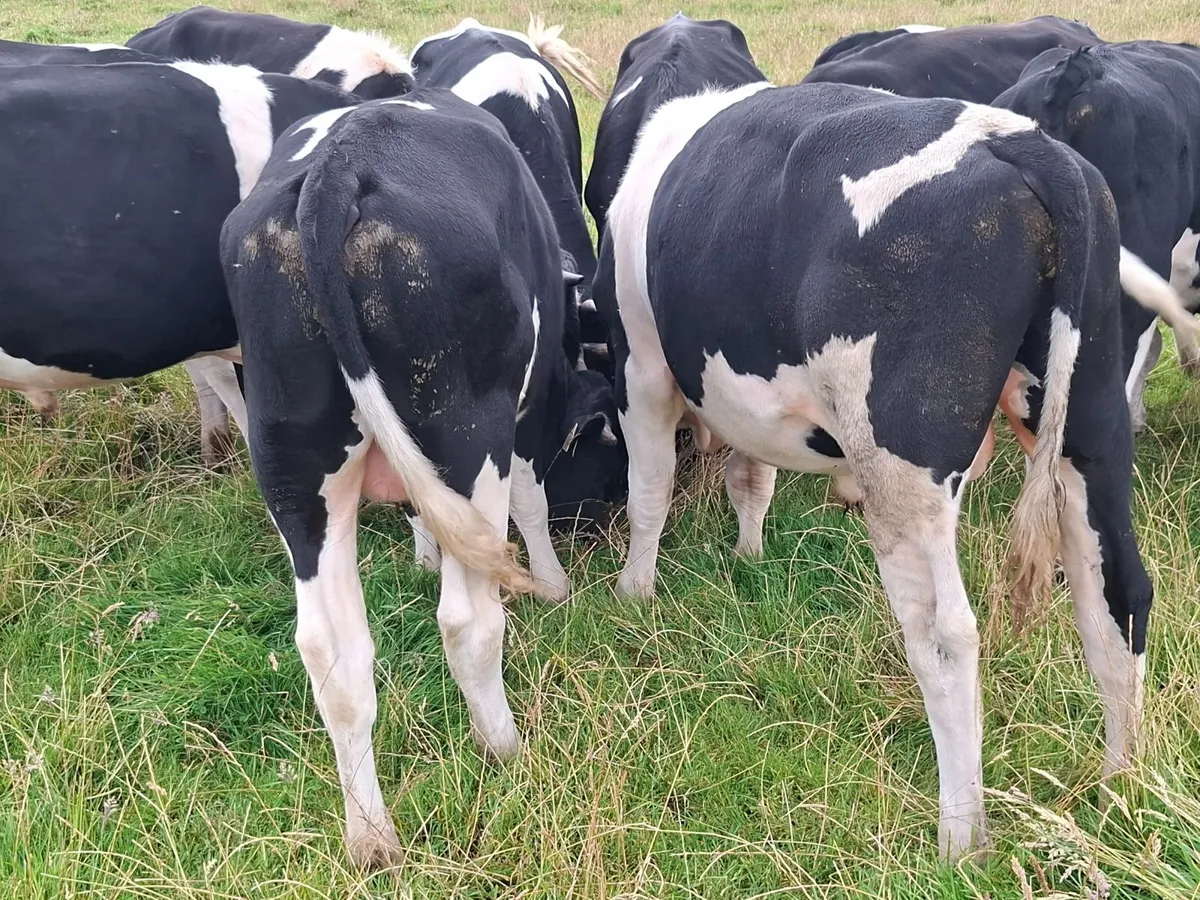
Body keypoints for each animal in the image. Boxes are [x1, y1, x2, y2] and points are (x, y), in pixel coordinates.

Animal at [219, 88, 623, 867]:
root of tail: (335, 174)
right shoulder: (525, 415)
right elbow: (529, 500)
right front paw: (553, 584)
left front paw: (424, 553)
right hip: (467, 435)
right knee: (467, 621)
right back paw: (506, 750)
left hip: (292, 468)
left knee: (331, 653)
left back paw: (371, 837)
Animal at [596, 80, 1152, 859]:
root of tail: (1019, 141)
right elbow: (751, 477)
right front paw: (748, 552)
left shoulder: (641, 365)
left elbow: (649, 490)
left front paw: (634, 593)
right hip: (1090, 421)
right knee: (1118, 599)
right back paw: (1117, 792)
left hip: (903, 466)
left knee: (946, 637)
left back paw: (961, 838)